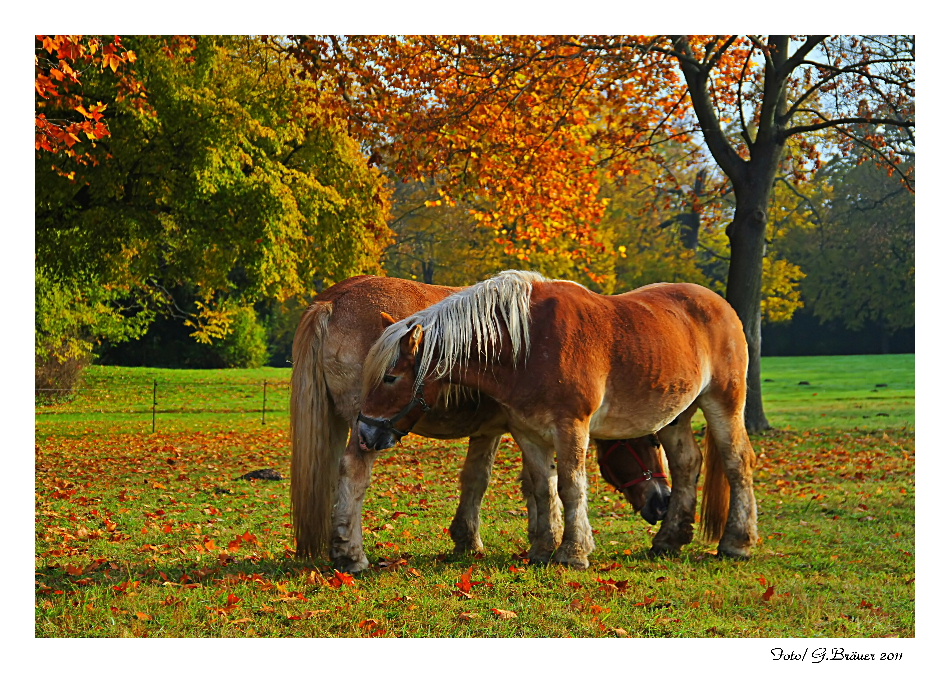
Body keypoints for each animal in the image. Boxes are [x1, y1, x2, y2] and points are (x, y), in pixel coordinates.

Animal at [360, 268, 764, 568]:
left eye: (390, 377)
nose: (364, 433)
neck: (528, 343)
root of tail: (720, 304)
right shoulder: (527, 432)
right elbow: (544, 487)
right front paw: (541, 550)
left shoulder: (572, 427)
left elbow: (571, 487)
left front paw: (573, 552)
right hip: (676, 415)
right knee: (686, 465)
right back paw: (669, 540)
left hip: (724, 401)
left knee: (737, 462)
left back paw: (737, 543)